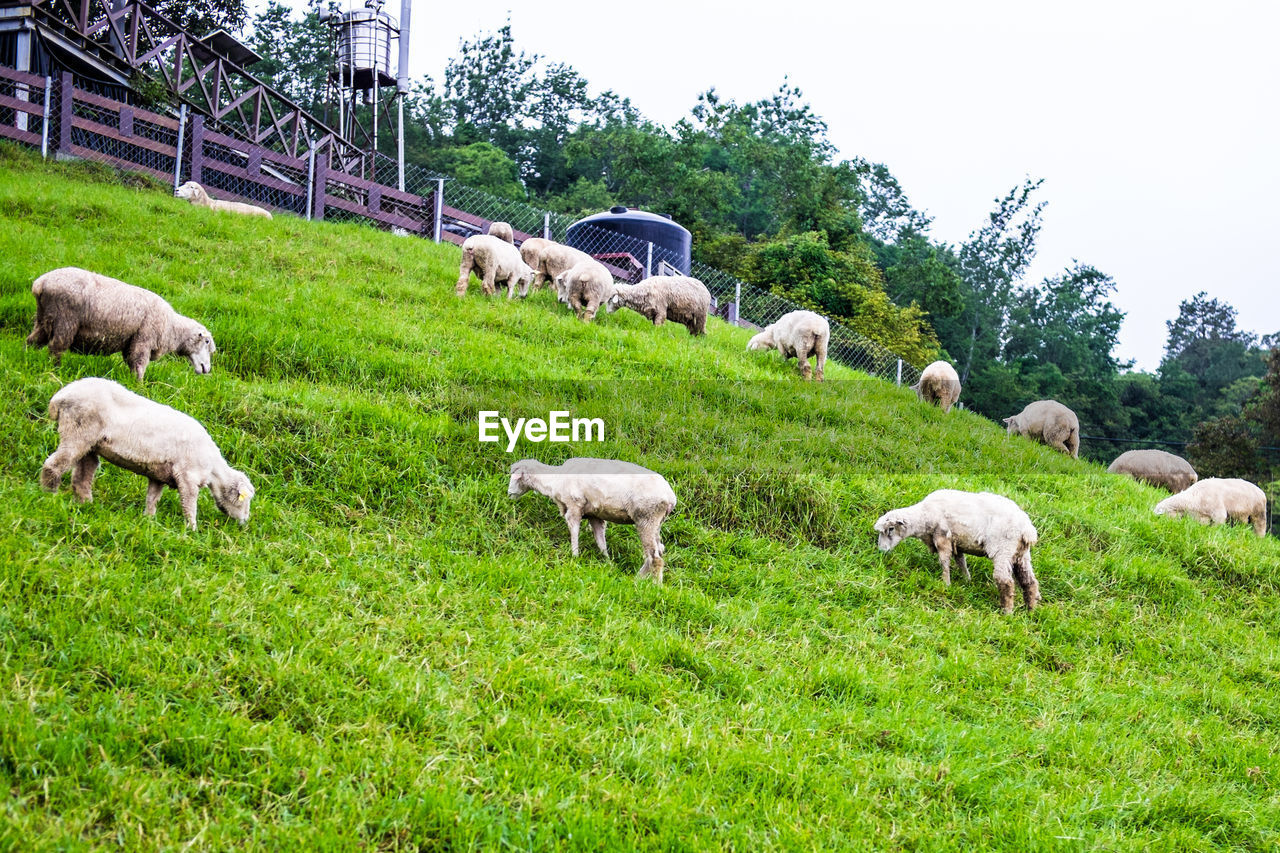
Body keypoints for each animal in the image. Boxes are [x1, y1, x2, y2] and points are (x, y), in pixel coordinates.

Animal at [24, 263, 220, 379]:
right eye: (206, 342)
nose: (206, 369)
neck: (172, 328)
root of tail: (40, 284)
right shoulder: (143, 341)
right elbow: (139, 366)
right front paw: (140, 388)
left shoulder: (131, 343)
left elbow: (131, 363)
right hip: (65, 320)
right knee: (56, 348)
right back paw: (55, 371)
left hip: (44, 319)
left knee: (32, 341)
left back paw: (26, 358)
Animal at [40, 376, 254, 527]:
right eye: (245, 501)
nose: (245, 521)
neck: (213, 469)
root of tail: (59, 397)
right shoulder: (187, 477)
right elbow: (189, 504)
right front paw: (191, 529)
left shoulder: (158, 475)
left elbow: (153, 497)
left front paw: (149, 520)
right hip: (78, 430)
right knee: (54, 465)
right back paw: (49, 495)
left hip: (91, 444)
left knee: (82, 476)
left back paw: (85, 504)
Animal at [506, 455, 680, 581]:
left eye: (515, 477)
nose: (509, 494)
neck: (555, 480)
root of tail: (670, 497)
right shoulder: (594, 515)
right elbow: (601, 541)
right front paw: (608, 562)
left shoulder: (574, 507)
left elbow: (574, 532)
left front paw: (574, 557)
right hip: (656, 522)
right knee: (659, 550)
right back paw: (639, 579)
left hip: (646, 517)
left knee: (655, 557)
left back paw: (654, 586)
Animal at [875, 489, 1044, 614]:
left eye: (891, 529)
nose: (882, 550)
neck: (924, 517)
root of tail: (1027, 528)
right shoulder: (957, 543)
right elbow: (961, 562)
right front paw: (966, 580)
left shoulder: (942, 538)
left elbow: (944, 561)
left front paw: (946, 583)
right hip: (1020, 554)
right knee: (1029, 581)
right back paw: (1030, 611)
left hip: (1003, 550)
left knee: (1006, 582)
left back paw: (1007, 612)